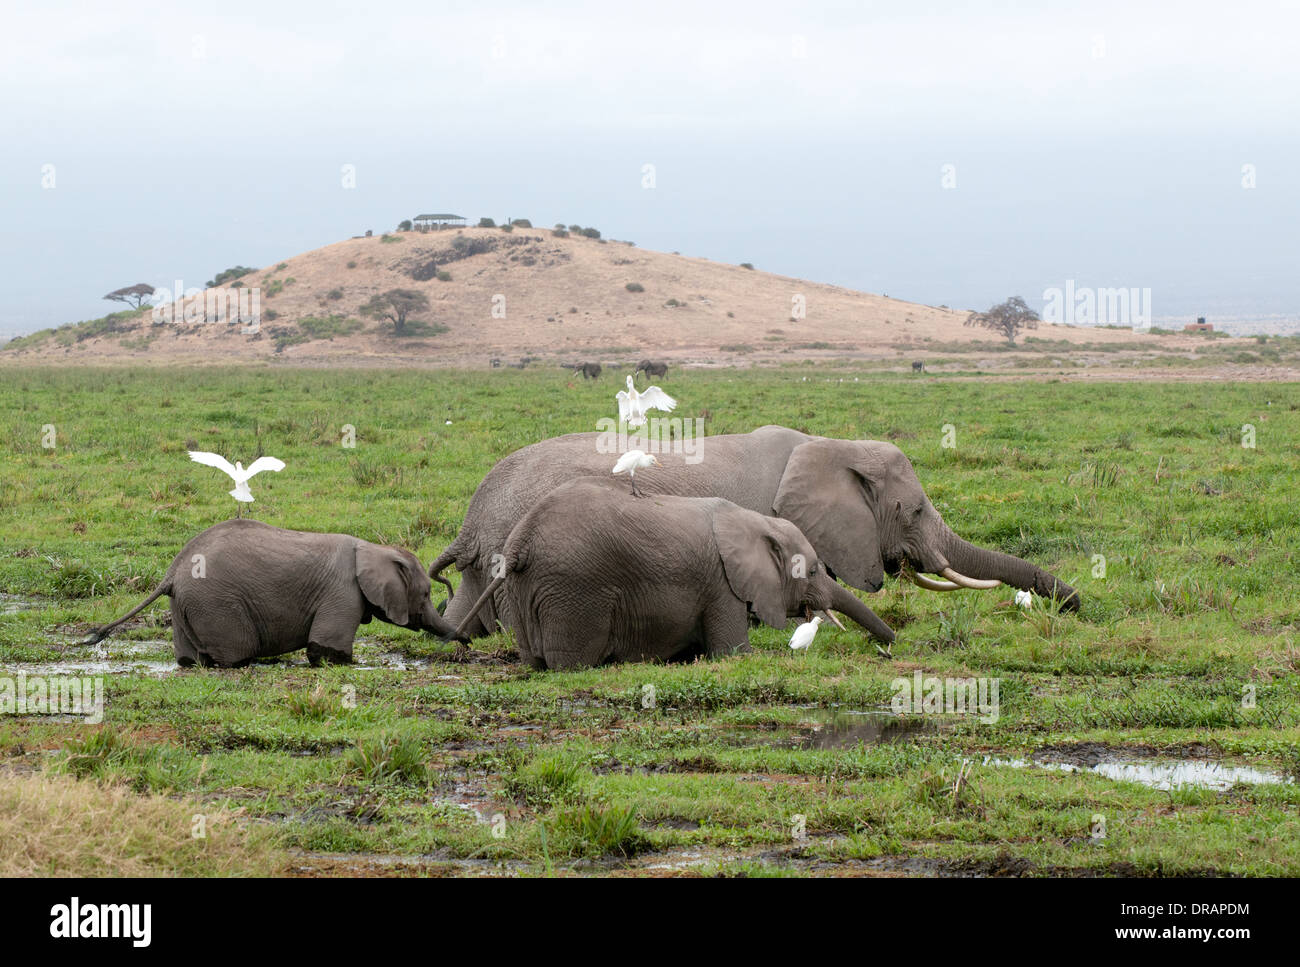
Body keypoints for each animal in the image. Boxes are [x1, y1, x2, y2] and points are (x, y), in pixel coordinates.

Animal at [87, 517, 462, 670]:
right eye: (425, 594)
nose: (465, 643)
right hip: (216, 602)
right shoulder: (342, 592)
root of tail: (171, 573)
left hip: (186, 605)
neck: (372, 548)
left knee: (189, 659)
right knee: (235, 653)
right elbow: (325, 651)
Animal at [449, 478, 894, 670]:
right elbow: (732, 653)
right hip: (573, 589)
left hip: (524, 587)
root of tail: (521, 542)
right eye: (814, 569)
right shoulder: (721, 584)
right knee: (570, 664)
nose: (889, 646)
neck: (753, 521)